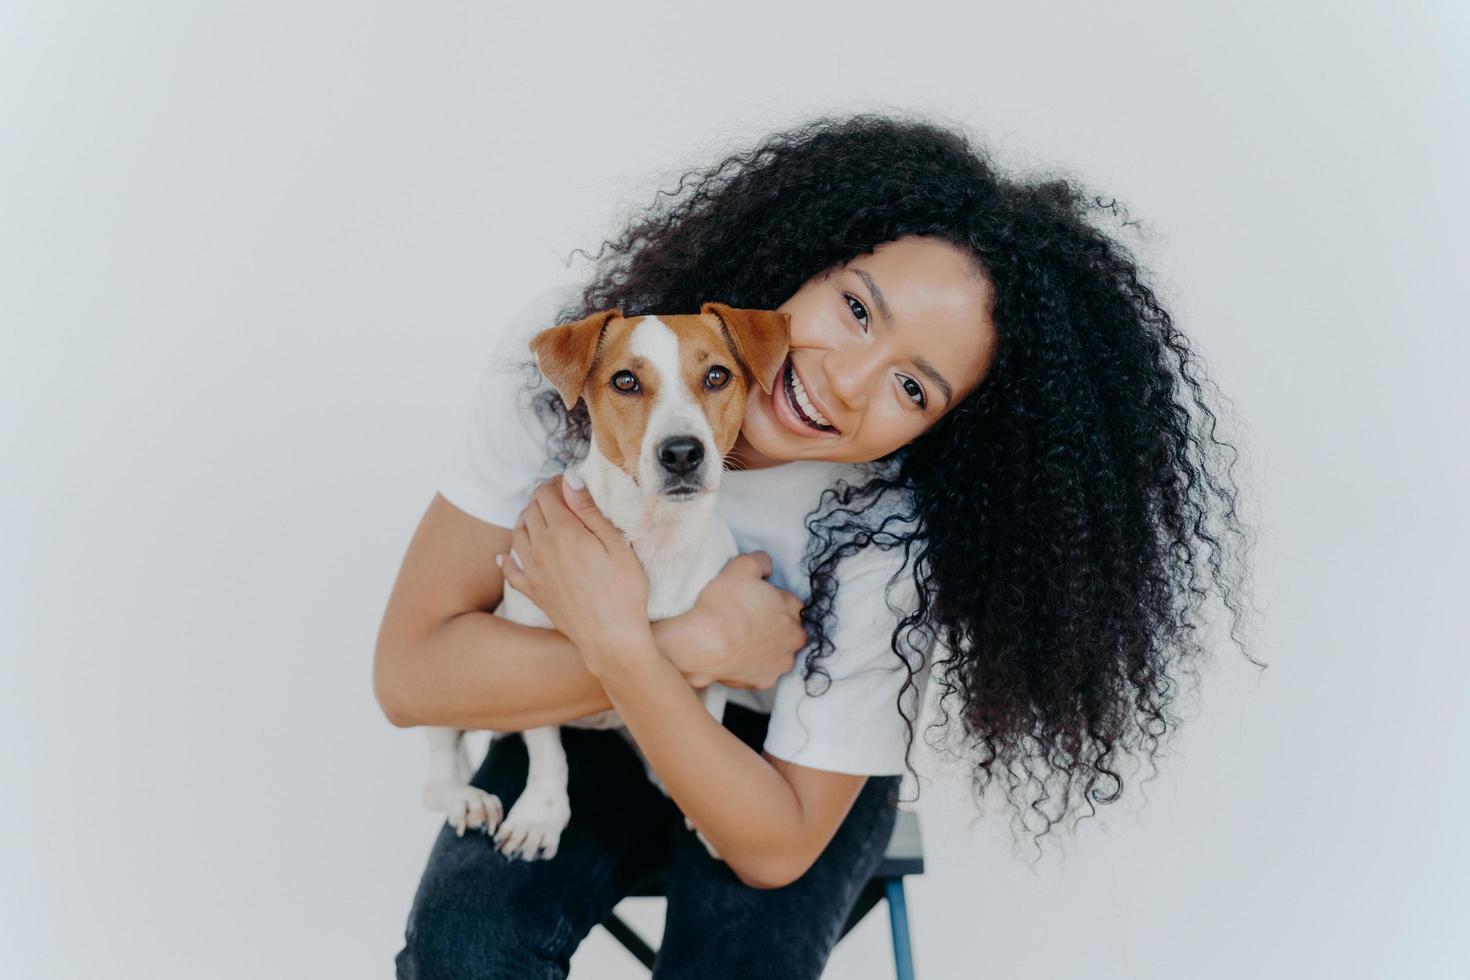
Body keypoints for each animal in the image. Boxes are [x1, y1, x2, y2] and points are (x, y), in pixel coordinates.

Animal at [426, 295, 793, 863]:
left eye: (717, 376)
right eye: (625, 381)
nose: (682, 452)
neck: (656, 537)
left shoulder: (713, 667)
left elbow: (704, 723)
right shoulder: (524, 648)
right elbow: (547, 749)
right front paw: (540, 816)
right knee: (438, 763)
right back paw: (464, 798)